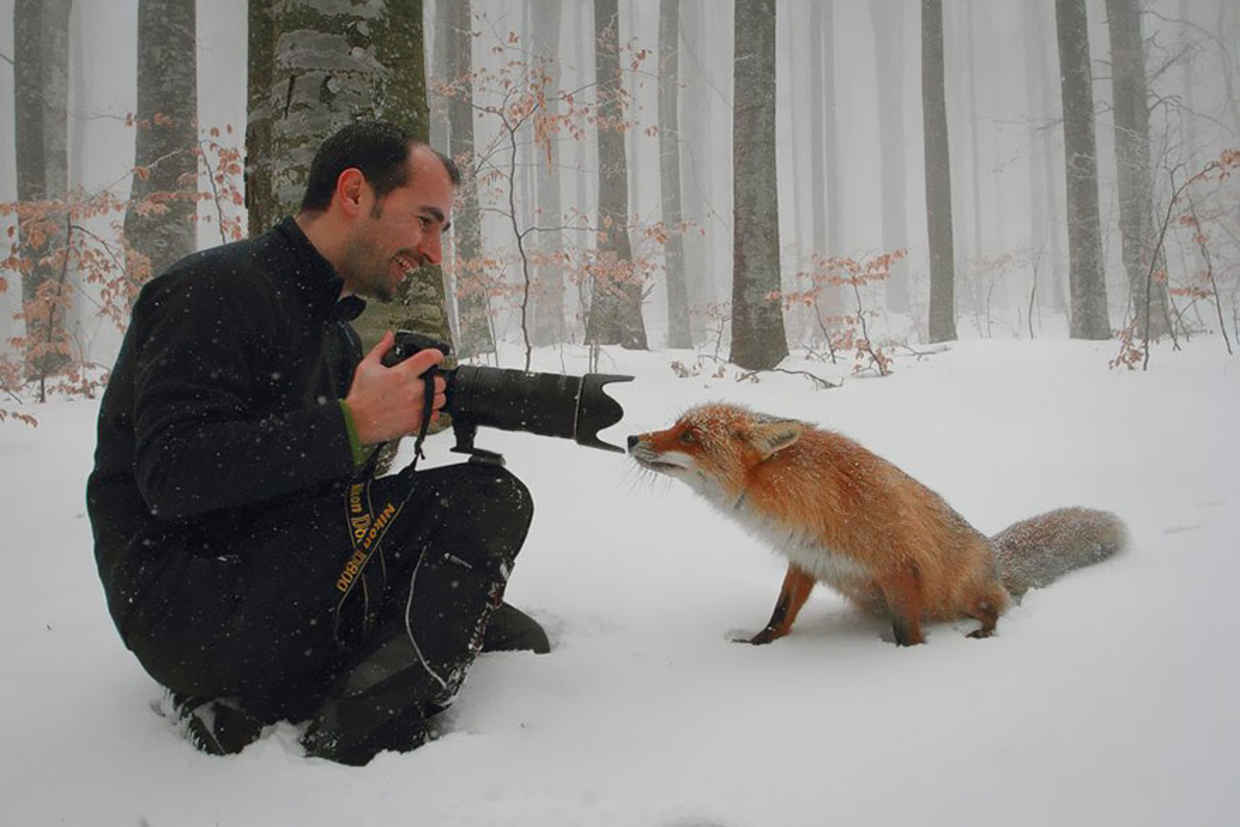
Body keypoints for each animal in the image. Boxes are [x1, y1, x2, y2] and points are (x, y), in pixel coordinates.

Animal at [624, 401, 1130, 644]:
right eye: (675, 426)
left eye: (690, 436)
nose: (630, 437)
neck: (806, 501)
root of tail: (994, 551)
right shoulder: (805, 559)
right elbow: (780, 614)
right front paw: (758, 646)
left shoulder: (899, 567)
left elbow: (908, 633)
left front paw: (906, 663)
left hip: (963, 590)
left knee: (998, 607)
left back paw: (984, 631)